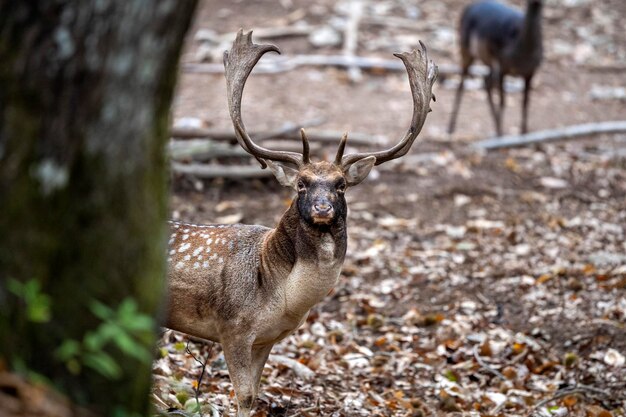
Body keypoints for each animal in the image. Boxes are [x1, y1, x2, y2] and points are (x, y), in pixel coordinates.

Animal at [163, 30, 436, 416]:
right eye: (301, 184)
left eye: (340, 185)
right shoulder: (232, 328)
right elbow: (242, 396)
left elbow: (255, 394)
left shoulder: (267, 339)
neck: (281, 296)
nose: (323, 208)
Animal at [448, 0, 540, 135]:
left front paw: (524, 133)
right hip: (466, 50)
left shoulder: (530, 72)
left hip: (488, 63)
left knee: (486, 81)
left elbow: (525, 102)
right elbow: (503, 101)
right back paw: (451, 127)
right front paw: (503, 132)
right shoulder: (503, 67)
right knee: (462, 82)